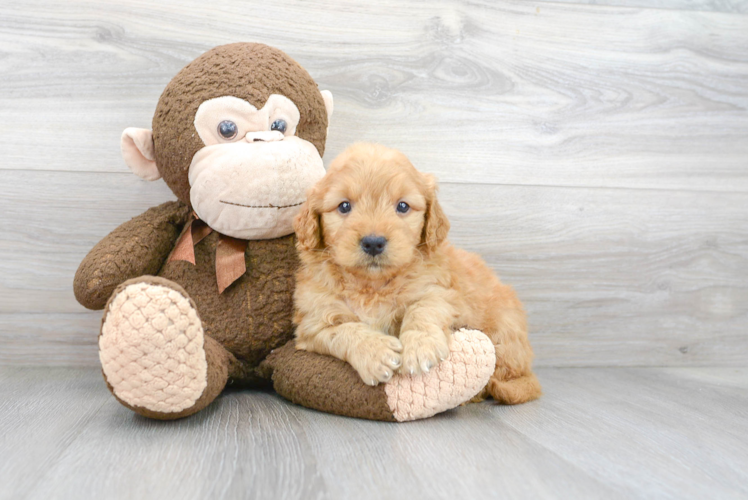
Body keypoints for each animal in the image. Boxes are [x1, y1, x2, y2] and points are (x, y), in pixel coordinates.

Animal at [292, 143, 544, 404]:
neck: (373, 285)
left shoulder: (440, 291)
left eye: (402, 206)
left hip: (504, 333)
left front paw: (420, 348)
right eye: (344, 206)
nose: (373, 243)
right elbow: (344, 331)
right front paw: (375, 352)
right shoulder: (313, 324)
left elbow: (423, 308)